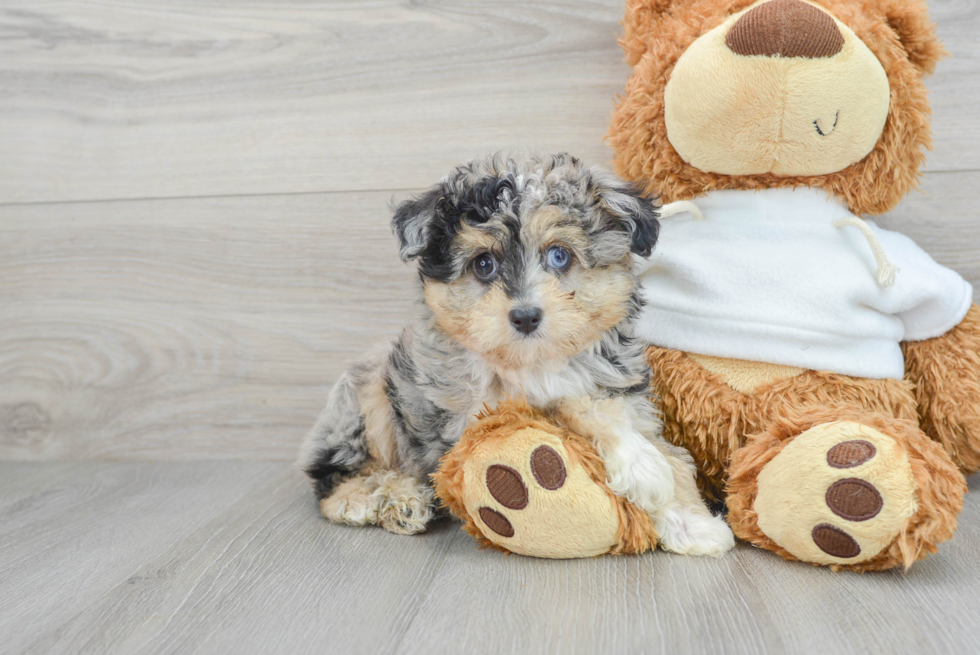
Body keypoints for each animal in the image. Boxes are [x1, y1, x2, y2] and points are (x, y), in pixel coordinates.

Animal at [298, 154, 736, 560]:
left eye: (559, 256)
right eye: (483, 264)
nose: (525, 316)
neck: (533, 363)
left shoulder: (626, 395)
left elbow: (660, 448)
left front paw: (691, 521)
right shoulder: (475, 418)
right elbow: (571, 407)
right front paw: (644, 467)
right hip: (367, 398)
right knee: (332, 476)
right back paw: (378, 499)